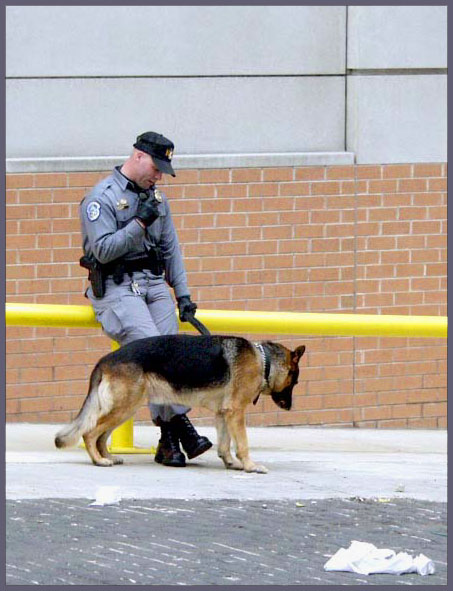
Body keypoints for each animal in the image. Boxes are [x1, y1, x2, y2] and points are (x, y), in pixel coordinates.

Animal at [54, 336, 306, 474]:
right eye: (295, 381)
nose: (290, 407)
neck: (264, 361)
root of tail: (105, 359)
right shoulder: (236, 412)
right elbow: (242, 444)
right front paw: (250, 466)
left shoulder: (223, 414)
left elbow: (225, 445)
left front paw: (230, 463)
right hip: (123, 408)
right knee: (89, 433)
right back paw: (98, 460)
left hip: (125, 409)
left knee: (101, 436)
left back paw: (107, 457)